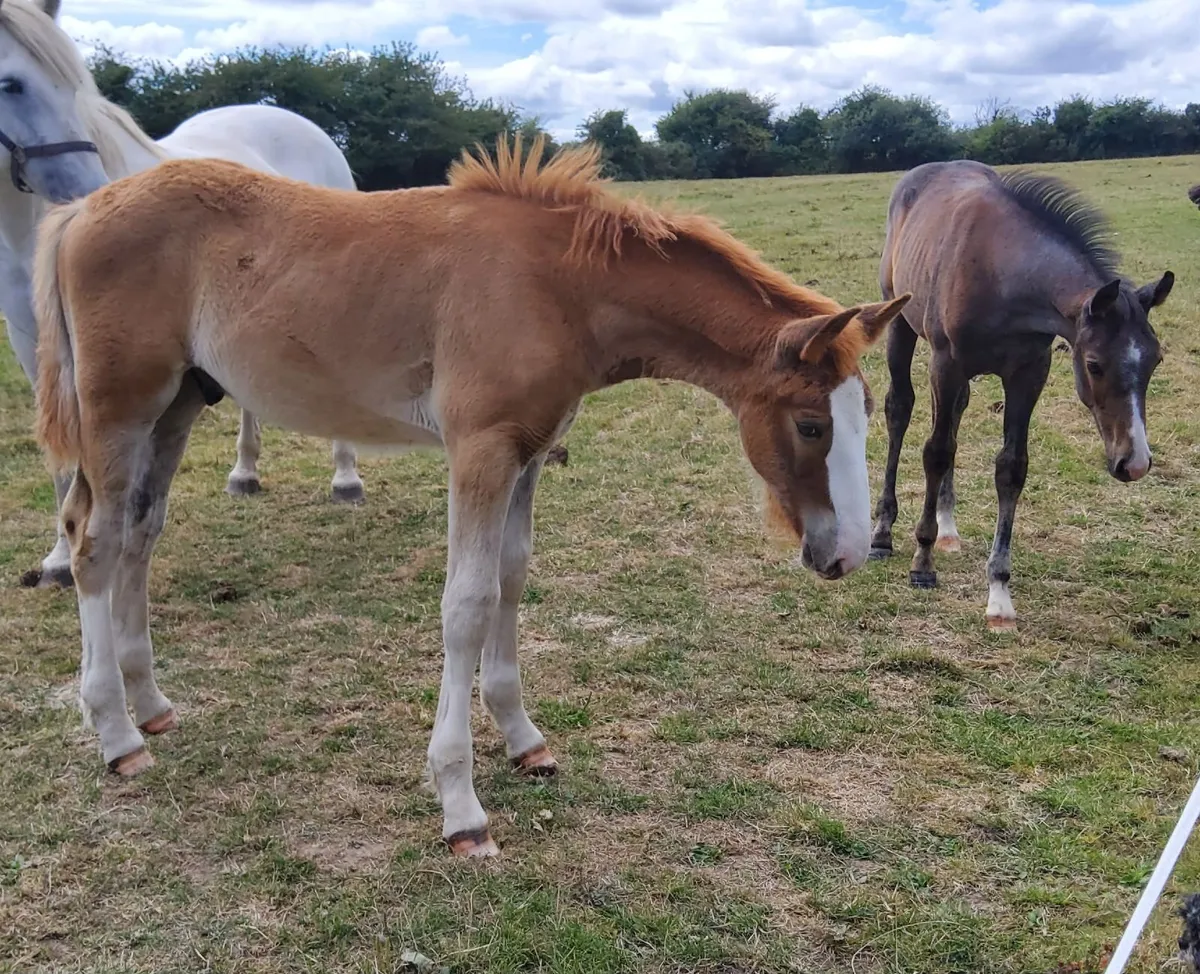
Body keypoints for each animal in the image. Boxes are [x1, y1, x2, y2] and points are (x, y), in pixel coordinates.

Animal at [0, 0, 365, 589]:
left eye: (75, 88)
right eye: (11, 84)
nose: (88, 194)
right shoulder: (33, 344)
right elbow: (63, 463)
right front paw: (57, 560)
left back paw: (346, 478)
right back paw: (244, 472)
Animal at [31, 135, 910, 856]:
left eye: (865, 415)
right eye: (809, 425)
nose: (846, 553)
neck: (558, 285)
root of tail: (79, 212)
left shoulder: (527, 452)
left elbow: (511, 581)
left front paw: (523, 738)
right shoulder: (480, 450)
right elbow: (466, 603)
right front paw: (460, 805)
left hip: (179, 403)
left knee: (140, 533)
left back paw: (150, 702)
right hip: (119, 409)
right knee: (92, 542)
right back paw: (116, 734)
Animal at [869, 160, 1173, 630]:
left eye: (1155, 360)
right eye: (1094, 364)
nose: (1135, 463)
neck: (1002, 275)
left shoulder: (1029, 373)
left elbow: (1011, 468)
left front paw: (999, 595)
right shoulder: (946, 363)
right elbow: (935, 451)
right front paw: (922, 562)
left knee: (955, 415)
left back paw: (948, 527)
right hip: (901, 324)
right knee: (899, 409)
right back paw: (883, 534)